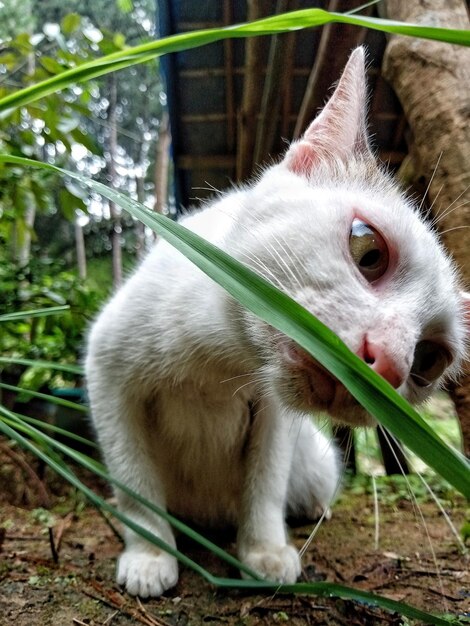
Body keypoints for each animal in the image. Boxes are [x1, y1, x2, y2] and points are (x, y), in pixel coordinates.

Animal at [86, 47, 468, 596]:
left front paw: (264, 551)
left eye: (429, 361)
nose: (390, 363)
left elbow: (264, 485)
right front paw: (150, 554)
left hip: (315, 459)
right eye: (368, 249)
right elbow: (134, 482)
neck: (219, 360)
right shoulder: (107, 375)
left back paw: (311, 510)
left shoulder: (276, 421)